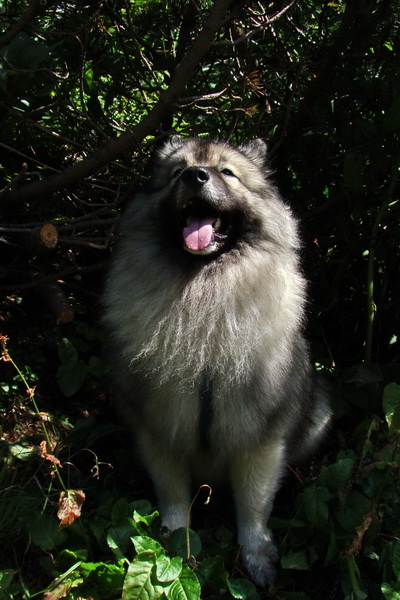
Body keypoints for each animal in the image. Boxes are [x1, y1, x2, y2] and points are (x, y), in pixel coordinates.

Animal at [103, 136, 332, 584]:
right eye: (178, 172)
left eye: (228, 172)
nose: (196, 176)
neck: (204, 288)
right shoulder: (161, 428)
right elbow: (173, 497)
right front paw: (174, 544)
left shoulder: (260, 437)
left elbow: (254, 504)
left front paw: (257, 555)